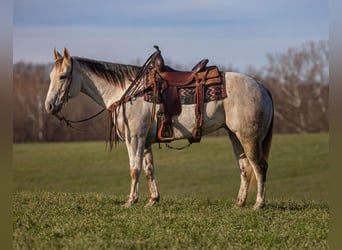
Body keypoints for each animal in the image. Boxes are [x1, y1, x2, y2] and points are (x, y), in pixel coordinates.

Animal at [45, 47, 274, 209]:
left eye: (63, 76)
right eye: (50, 77)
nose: (49, 106)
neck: (127, 92)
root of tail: (263, 87)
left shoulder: (135, 138)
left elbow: (134, 169)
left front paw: (131, 200)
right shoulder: (145, 141)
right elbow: (148, 170)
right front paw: (152, 200)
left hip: (249, 138)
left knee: (259, 167)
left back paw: (258, 204)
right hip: (235, 137)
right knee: (245, 169)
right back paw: (239, 204)